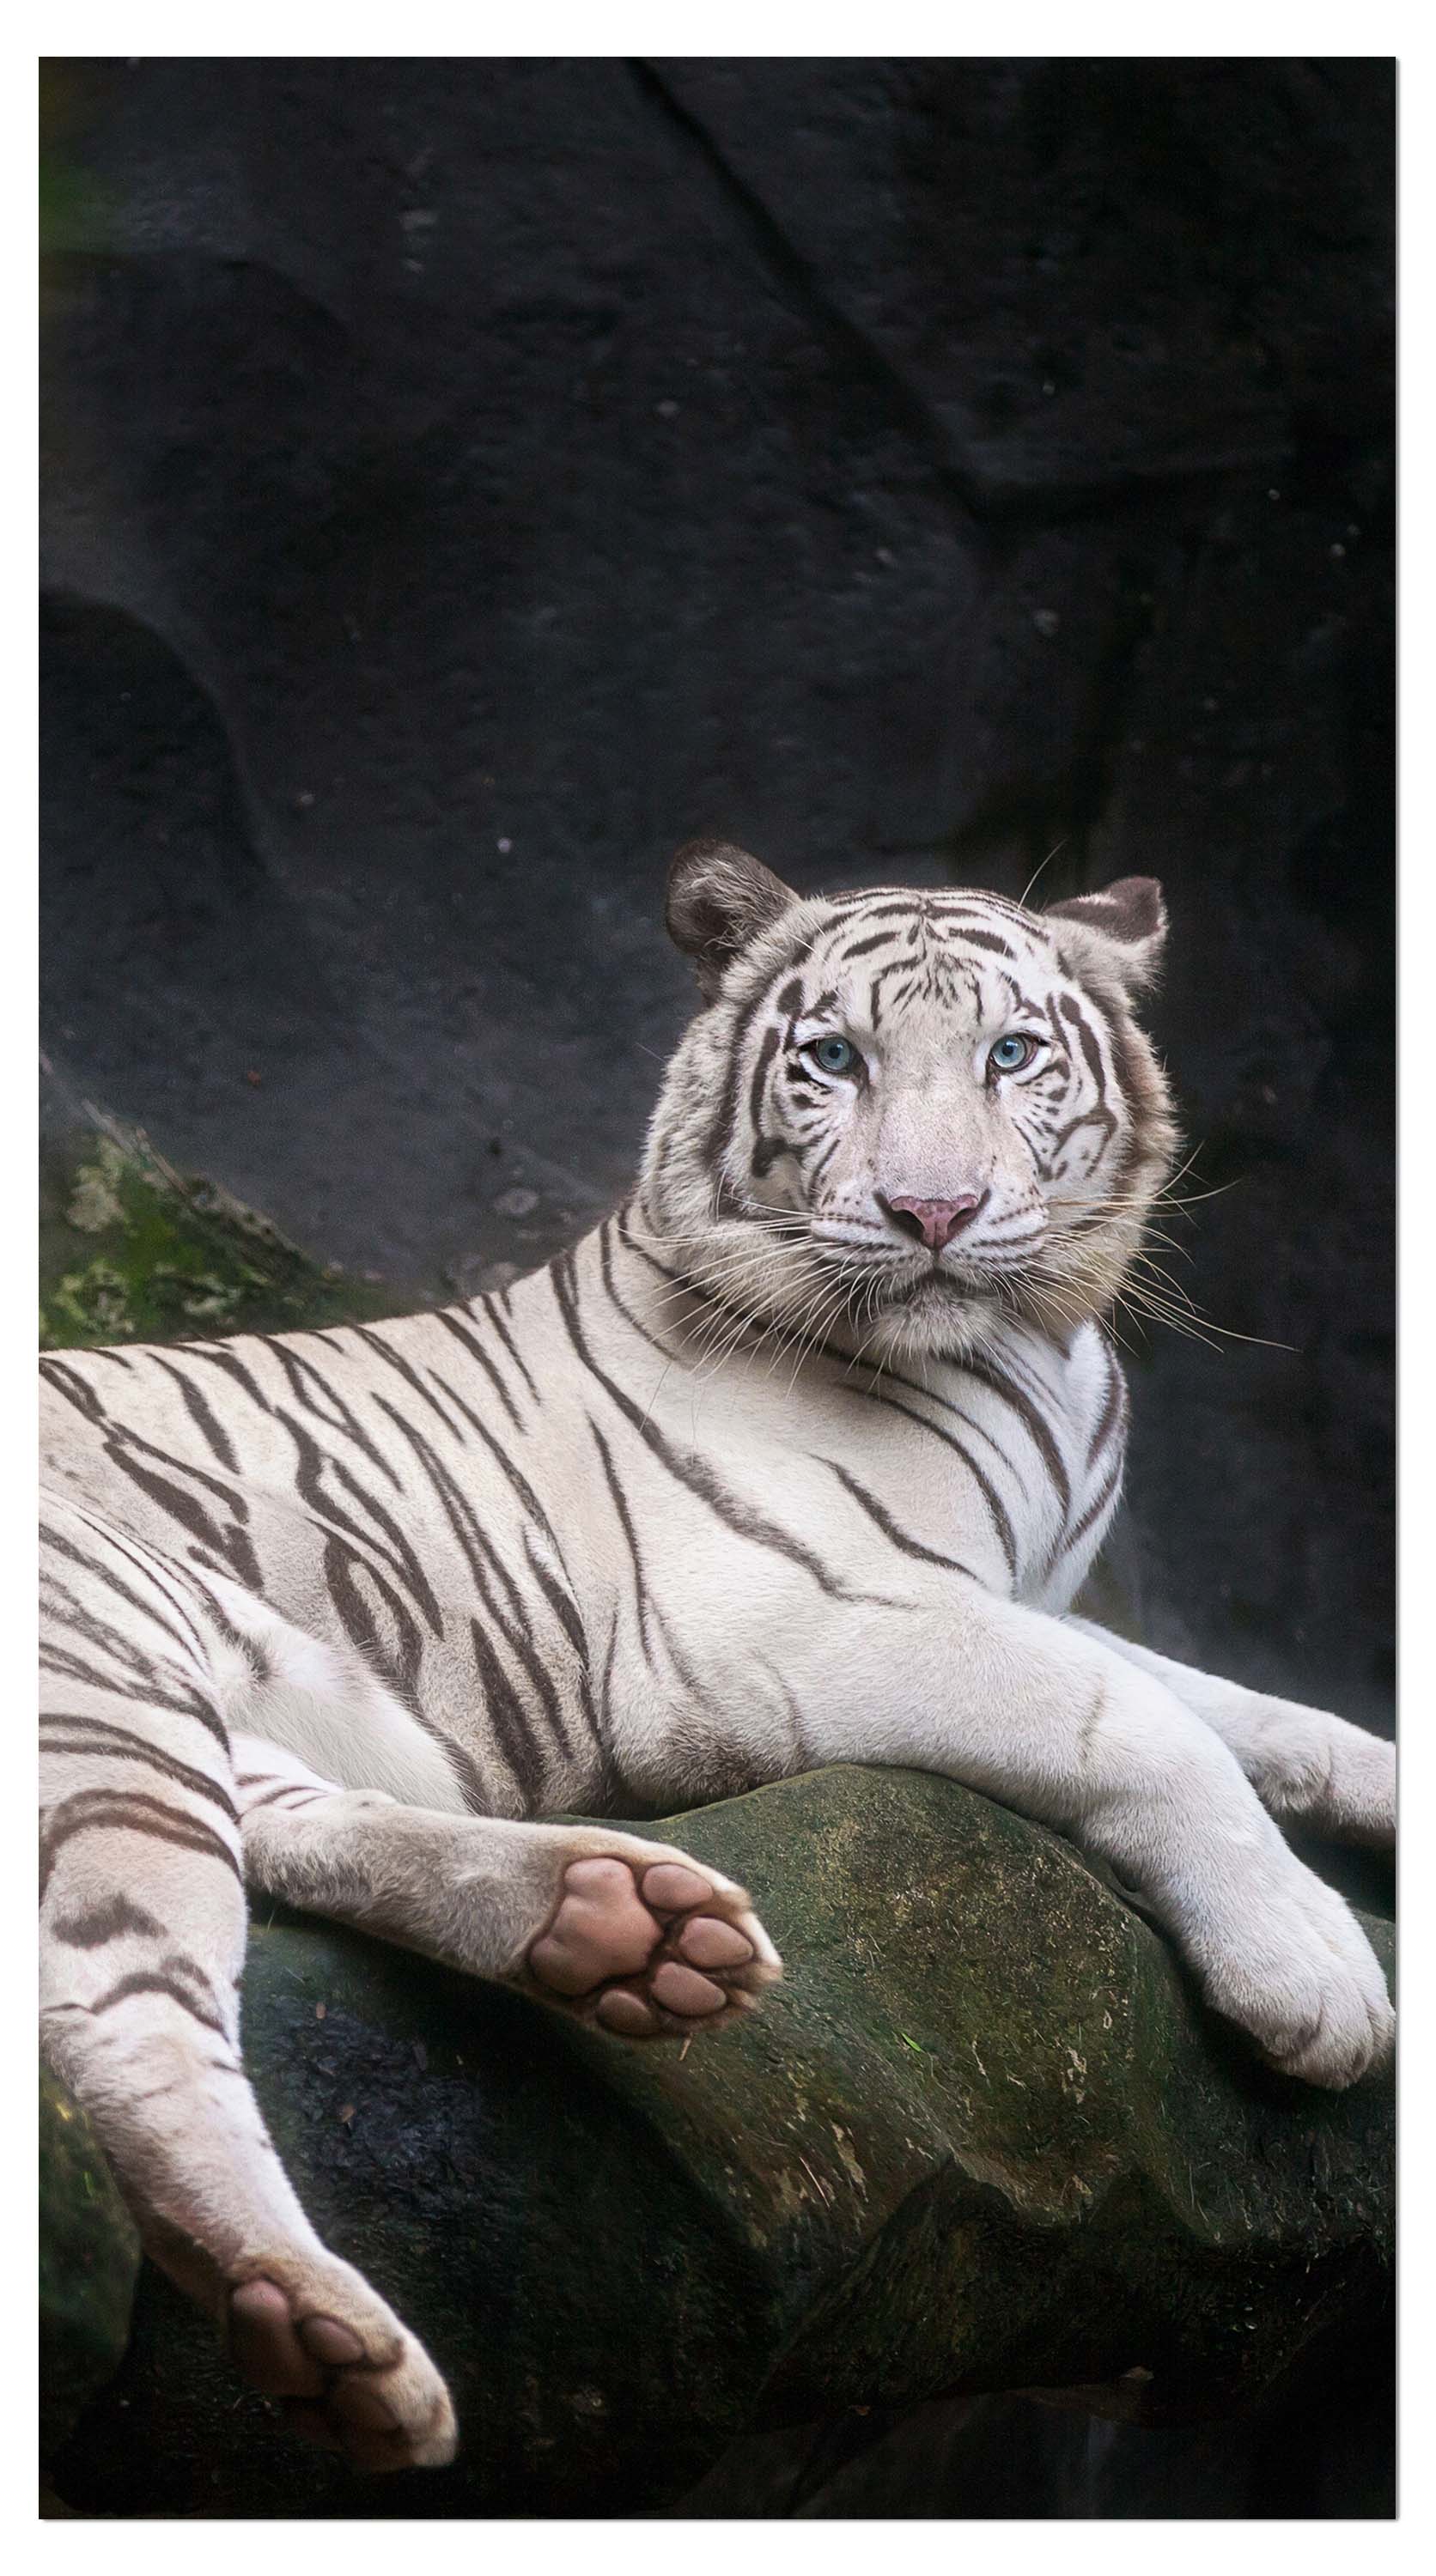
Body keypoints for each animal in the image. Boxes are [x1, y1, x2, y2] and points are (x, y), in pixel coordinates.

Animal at [41, 840, 1391, 2452]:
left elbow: (1252, 1710)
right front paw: (1315, 1972)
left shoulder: (1025, 1594)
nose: (932, 1212)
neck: (1033, 1351)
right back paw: (320, 2330)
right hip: (103, 1668)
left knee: (287, 1833)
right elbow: (1140, 1726)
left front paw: (1383, 1788)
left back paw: (619, 1926)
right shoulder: (785, 1621)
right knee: (124, 2011)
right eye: (835, 1060)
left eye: (1010, 1055)